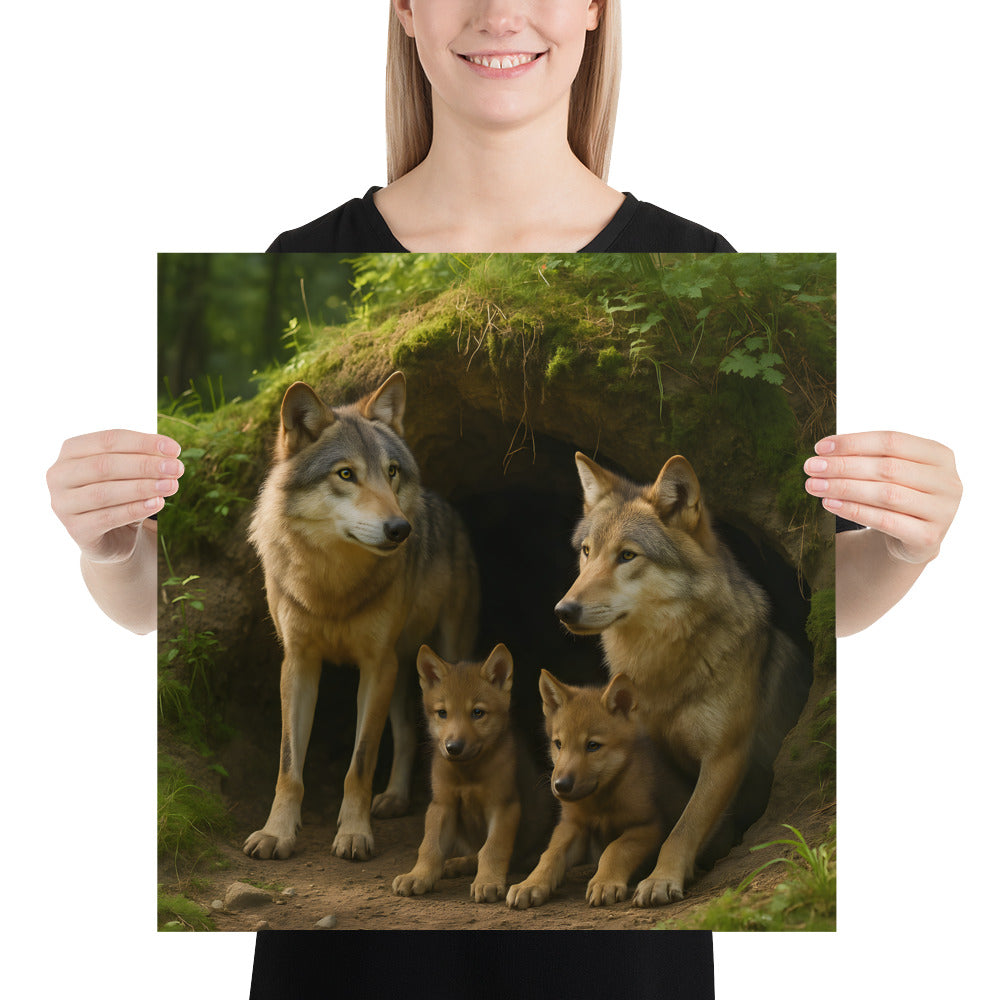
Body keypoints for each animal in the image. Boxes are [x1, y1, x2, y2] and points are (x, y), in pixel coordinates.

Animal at [243, 372, 479, 863]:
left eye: (391, 472)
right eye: (346, 474)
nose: (400, 529)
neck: (332, 585)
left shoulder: (375, 665)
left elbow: (360, 761)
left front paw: (354, 833)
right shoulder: (298, 664)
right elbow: (289, 764)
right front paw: (277, 833)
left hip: (439, 660)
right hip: (402, 671)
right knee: (407, 733)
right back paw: (395, 798)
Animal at [392, 643, 552, 903]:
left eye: (477, 713)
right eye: (442, 713)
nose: (453, 747)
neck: (468, 774)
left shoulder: (504, 806)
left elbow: (493, 848)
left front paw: (488, 881)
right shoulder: (442, 805)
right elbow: (429, 847)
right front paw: (418, 875)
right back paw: (456, 864)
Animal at [507, 670, 698, 910]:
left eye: (593, 746)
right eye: (558, 743)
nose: (561, 785)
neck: (600, 803)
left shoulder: (648, 826)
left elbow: (615, 849)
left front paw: (604, 882)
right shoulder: (571, 825)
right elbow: (550, 854)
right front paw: (530, 884)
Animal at [554, 452, 811, 906]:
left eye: (627, 556)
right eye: (587, 552)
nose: (563, 610)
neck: (662, 672)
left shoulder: (724, 756)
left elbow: (683, 827)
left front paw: (662, 879)